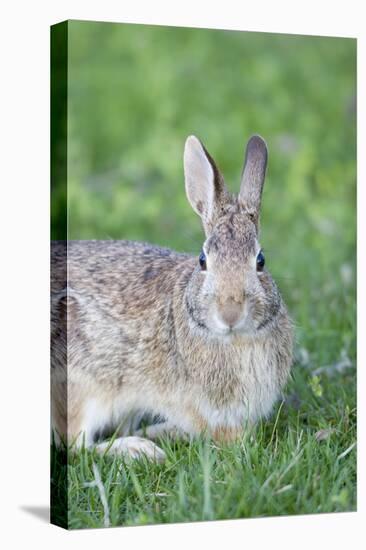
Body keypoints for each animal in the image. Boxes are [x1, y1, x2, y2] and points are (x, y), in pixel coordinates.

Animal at [51, 134, 294, 462]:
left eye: (260, 261)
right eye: (203, 260)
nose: (230, 313)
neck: (233, 339)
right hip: (84, 387)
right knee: (77, 444)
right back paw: (141, 449)